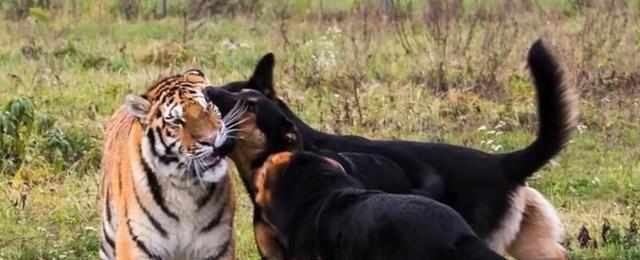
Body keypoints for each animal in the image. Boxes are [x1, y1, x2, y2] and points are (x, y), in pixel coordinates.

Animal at [99, 69, 245, 260]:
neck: (185, 187)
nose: (211, 139)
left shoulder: (217, 245)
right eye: (176, 121)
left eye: (207, 105)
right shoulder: (138, 242)